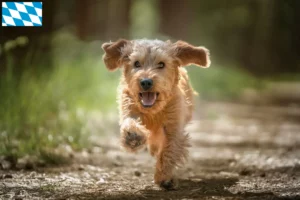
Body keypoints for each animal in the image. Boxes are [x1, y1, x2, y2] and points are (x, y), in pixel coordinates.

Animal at [102, 38, 210, 189]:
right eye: (136, 63)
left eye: (161, 64)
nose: (146, 82)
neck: (153, 111)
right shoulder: (128, 107)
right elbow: (130, 122)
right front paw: (133, 136)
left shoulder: (174, 126)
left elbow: (169, 150)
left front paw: (164, 177)